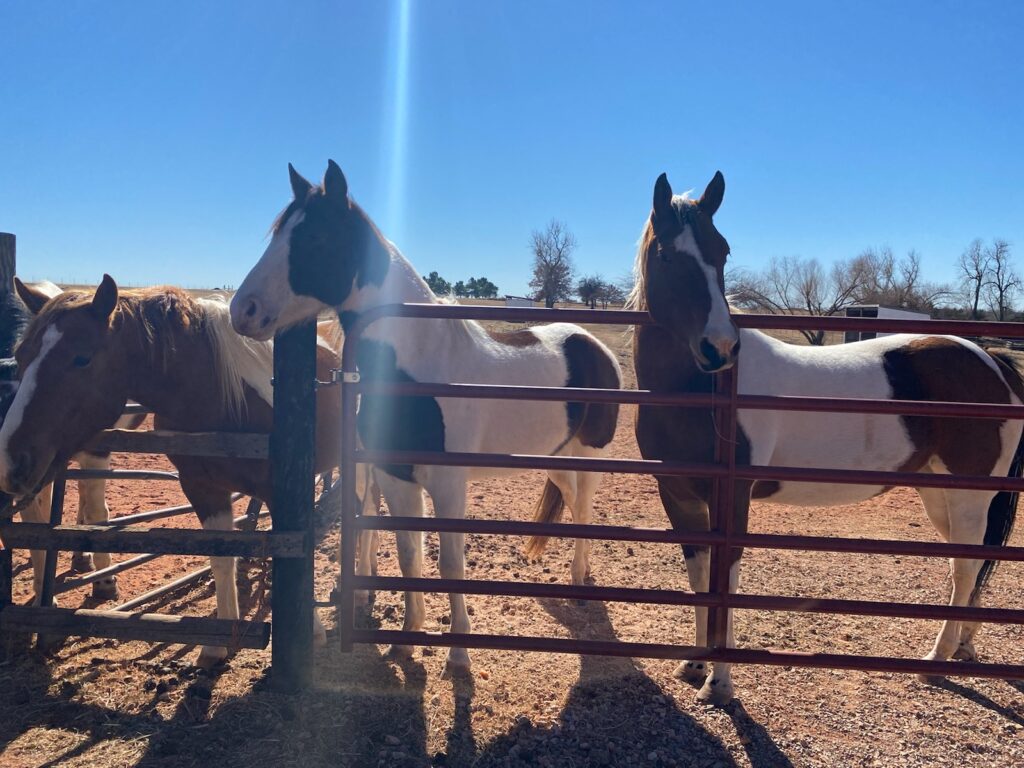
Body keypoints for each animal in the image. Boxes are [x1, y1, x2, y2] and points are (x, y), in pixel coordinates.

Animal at [0, 279, 142, 603]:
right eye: (21, 358)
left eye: (82, 359)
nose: (9, 467)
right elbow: (35, 525)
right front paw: (42, 591)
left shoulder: (96, 449)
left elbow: (97, 514)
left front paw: (105, 582)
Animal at [229, 160, 622, 674]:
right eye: (278, 234)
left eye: (315, 237)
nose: (242, 310)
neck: (418, 369)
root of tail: (591, 343)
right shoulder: (397, 479)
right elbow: (408, 556)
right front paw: (406, 640)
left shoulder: (449, 486)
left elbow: (450, 565)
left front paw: (458, 653)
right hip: (555, 457)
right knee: (573, 506)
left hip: (590, 457)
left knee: (586, 508)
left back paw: (579, 580)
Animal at [629, 170, 1024, 704]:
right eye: (668, 254)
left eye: (722, 252)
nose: (720, 347)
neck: (699, 389)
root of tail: (993, 362)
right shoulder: (678, 496)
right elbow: (700, 578)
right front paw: (695, 663)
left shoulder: (732, 498)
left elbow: (724, 580)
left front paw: (720, 683)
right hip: (940, 494)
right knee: (971, 564)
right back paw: (963, 647)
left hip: (969, 496)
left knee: (965, 569)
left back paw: (936, 661)